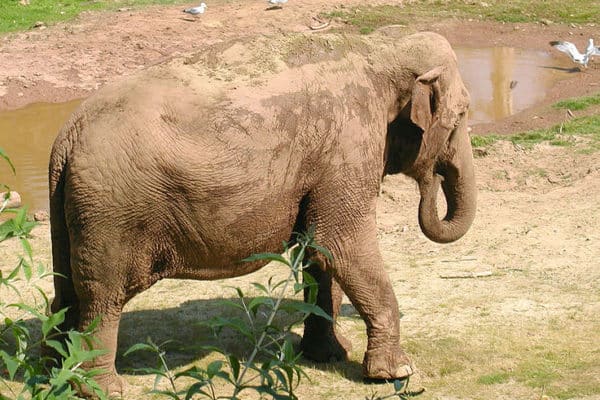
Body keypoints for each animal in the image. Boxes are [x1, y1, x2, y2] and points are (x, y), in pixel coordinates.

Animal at [49, 29, 476, 396]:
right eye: (460, 116)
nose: (433, 178)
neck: (377, 49)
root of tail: (69, 132)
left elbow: (319, 254)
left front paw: (329, 354)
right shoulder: (348, 145)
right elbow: (341, 244)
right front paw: (397, 372)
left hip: (69, 207)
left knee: (66, 289)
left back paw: (55, 370)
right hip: (109, 215)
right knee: (102, 296)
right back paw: (101, 389)